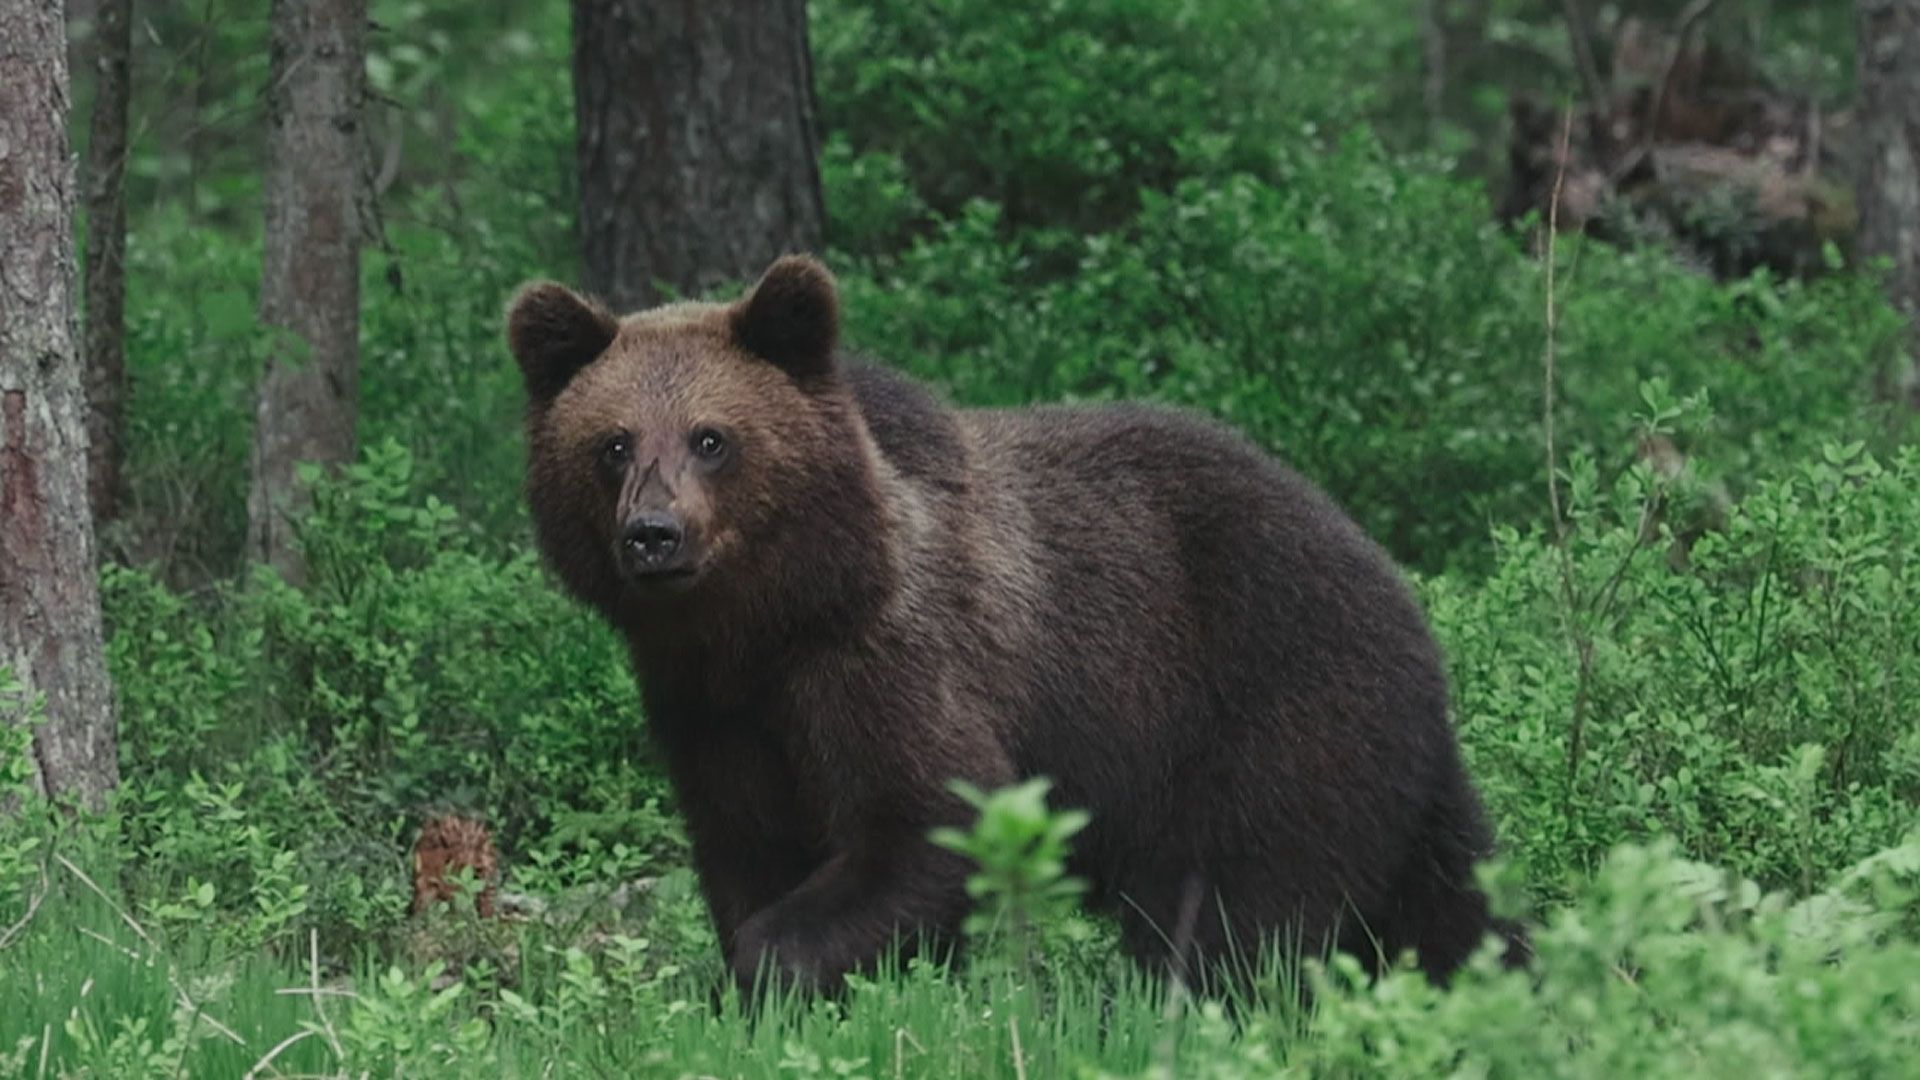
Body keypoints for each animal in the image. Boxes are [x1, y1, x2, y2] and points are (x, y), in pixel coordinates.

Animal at [505, 254, 1521, 995]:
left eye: (712, 438)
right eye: (613, 444)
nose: (652, 534)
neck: (773, 620)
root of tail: (1402, 597)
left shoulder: (892, 656)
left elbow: (927, 819)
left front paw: (773, 968)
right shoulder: (709, 709)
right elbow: (745, 842)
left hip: (1266, 715)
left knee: (1232, 910)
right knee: (1447, 899)